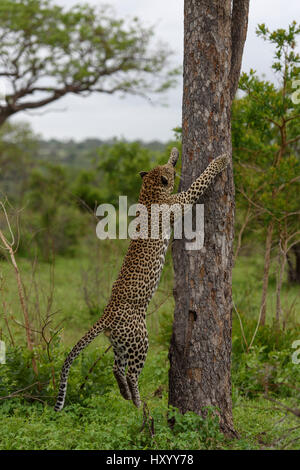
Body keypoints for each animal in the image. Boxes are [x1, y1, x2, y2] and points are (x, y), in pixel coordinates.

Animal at [54, 148, 229, 412]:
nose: (174, 166)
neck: (148, 193)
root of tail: (106, 314)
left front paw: (174, 153)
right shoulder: (182, 201)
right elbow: (201, 180)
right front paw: (220, 161)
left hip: (120, 342)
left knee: (116, 368)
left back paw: (125, 394)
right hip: (140, 337)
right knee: (132, 372)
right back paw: (136, 400)